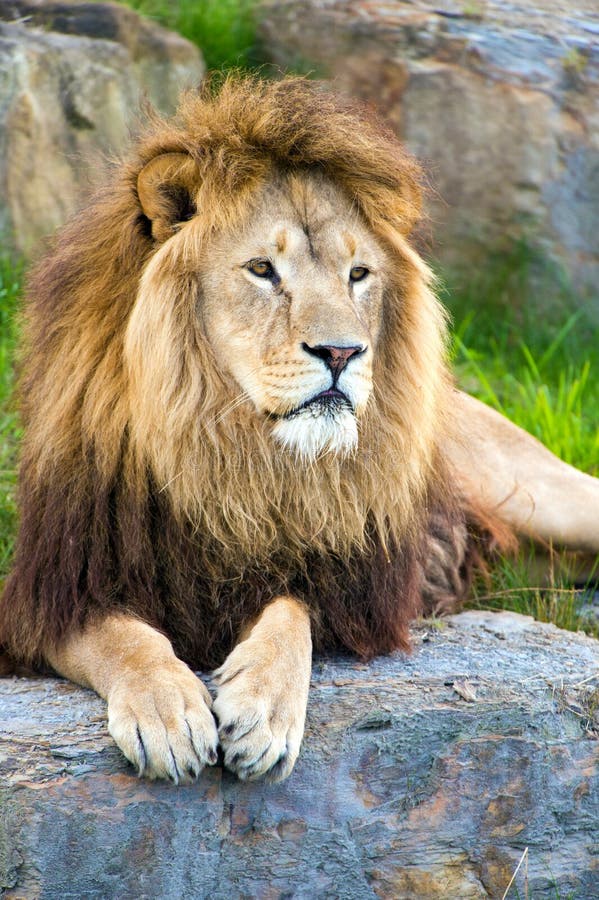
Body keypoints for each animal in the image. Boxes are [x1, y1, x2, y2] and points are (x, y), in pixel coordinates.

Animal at [1, 76, 598, 784]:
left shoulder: (348, 587)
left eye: (358, 275)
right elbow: (124, 637)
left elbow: (292, 612)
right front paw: (166, 711)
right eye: (262, 269)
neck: (228, 453)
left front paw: (262, 711)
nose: (342, 352)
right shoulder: (47, 596)